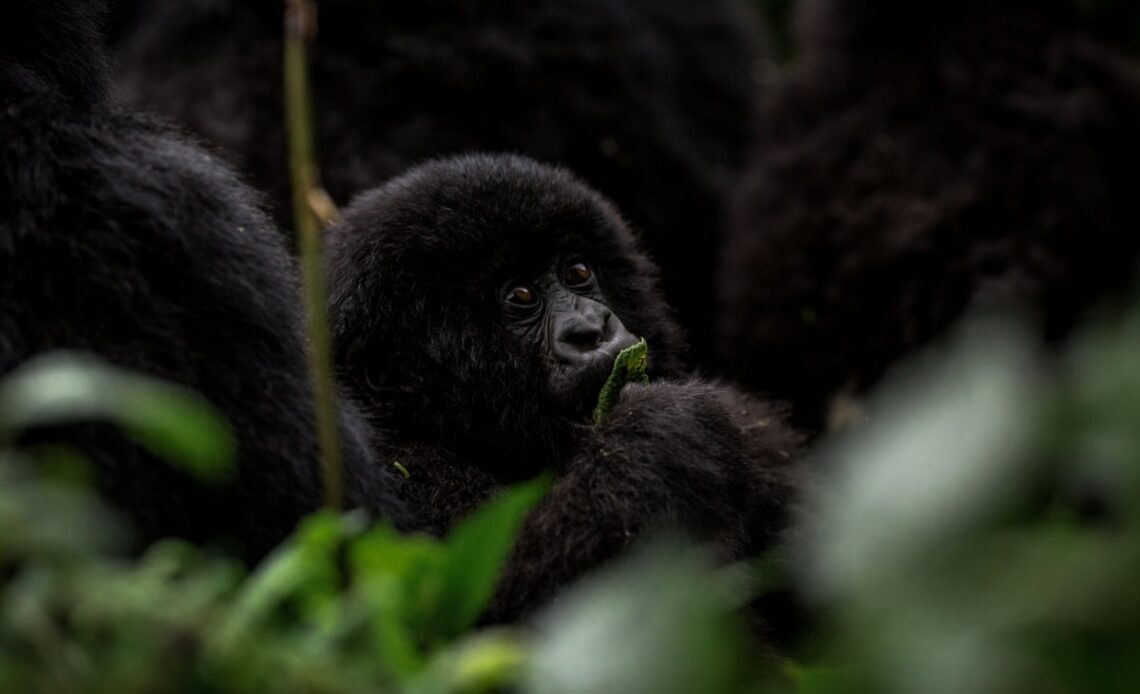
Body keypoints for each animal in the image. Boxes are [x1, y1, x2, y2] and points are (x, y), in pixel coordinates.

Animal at [326, 156, 798, 624]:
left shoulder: (762, 439)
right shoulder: (396, 470)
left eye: (577, 271)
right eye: (521, 295)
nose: (591, 330)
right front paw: (667, 435)